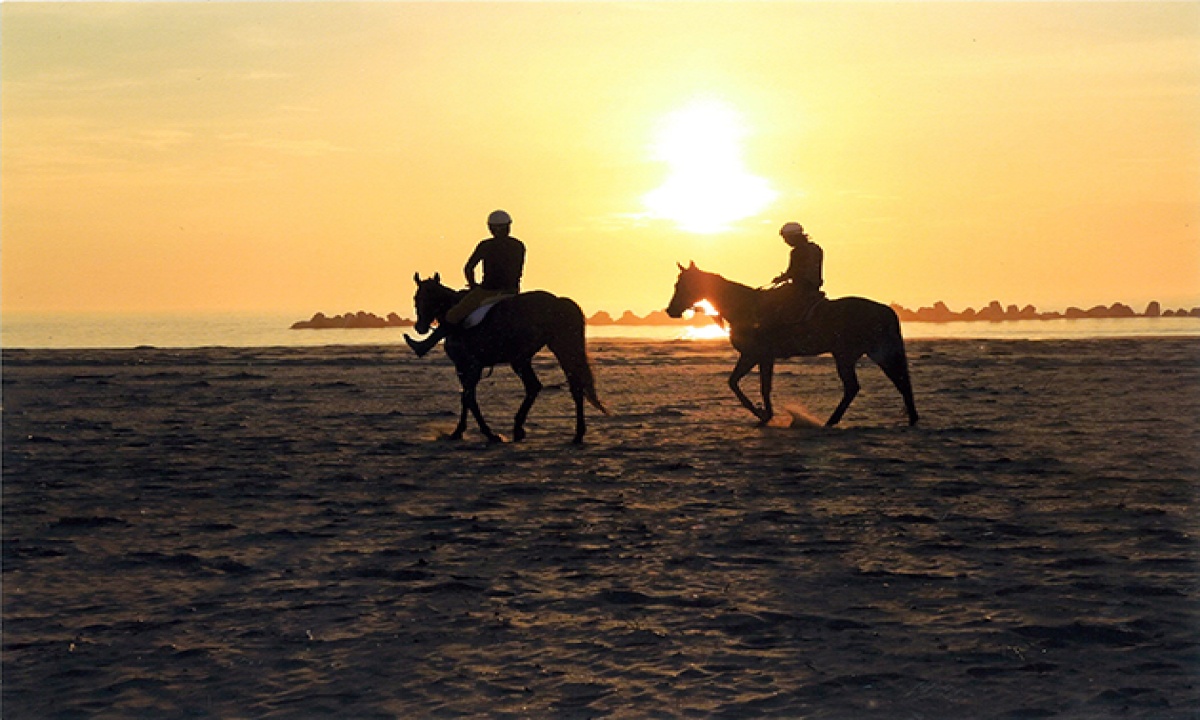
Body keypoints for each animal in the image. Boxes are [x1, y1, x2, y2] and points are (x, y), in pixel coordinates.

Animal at [410, 274, 604, 444]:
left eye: (424, 297)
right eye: (416, 298)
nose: (420, 327)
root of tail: (559, 301)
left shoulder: (470, 365)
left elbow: (469, 398)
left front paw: (486, 434)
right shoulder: (466, 367)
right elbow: (466, 398)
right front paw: (460, 432)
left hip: (539, 355)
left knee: (552, 386)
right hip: (539, 354)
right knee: (556, 386)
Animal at [667, 261, 916, 427]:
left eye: (682, 284)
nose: (671, 310)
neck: (746, 306)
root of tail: (885, 310)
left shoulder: (757, 355)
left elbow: (750, 385)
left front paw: (763, 414)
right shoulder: (757, 357)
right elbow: (740, 383)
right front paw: (764, 414)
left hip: (852, 355)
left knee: (859, 386)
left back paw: (831, 421)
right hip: (869, 353)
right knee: (896, 382)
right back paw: (912, 418)